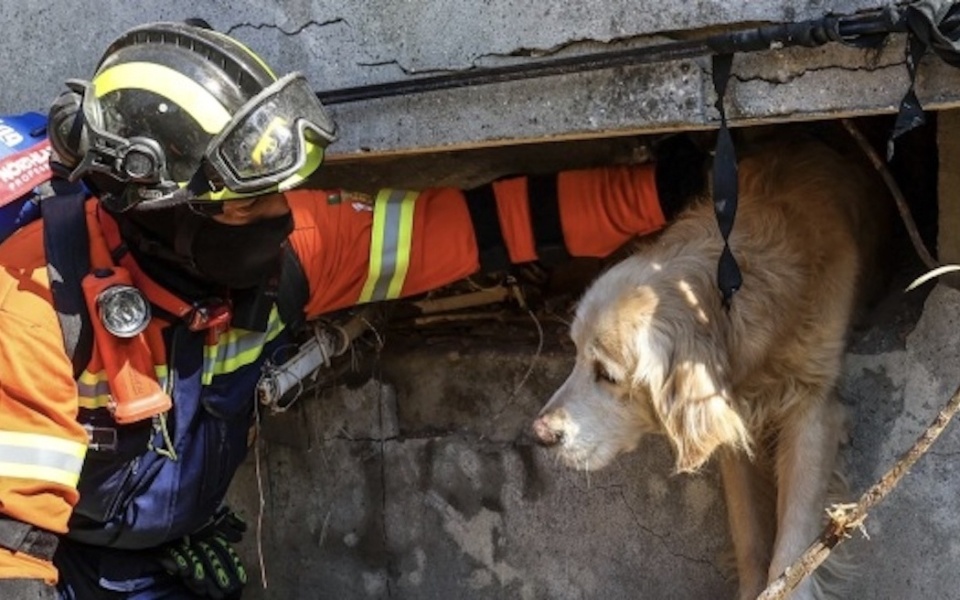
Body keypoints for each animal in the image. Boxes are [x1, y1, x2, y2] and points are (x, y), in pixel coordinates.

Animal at [532, 137, 884, 600]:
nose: (540, 435)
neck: (732, 289)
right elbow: (749, 532)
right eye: (573, 354)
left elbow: (791, 542)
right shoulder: (731, 418)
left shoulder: (813, 406)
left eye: (607, 375)